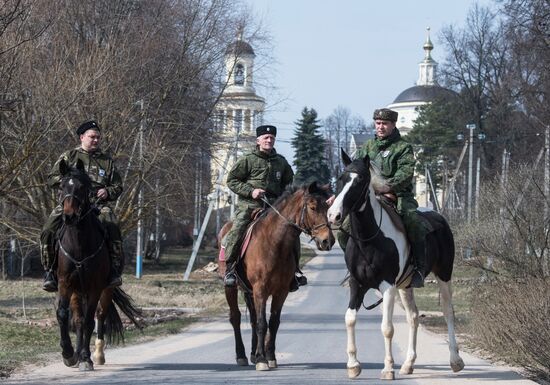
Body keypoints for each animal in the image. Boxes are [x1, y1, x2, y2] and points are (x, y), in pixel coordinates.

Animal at [54, 158, 141, 368]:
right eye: (61, 185)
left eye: (82, 187)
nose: (69, 216)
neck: (79, 243)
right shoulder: (65, 283)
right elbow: (64, 315)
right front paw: (68, 353)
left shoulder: (95, 286)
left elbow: (89, 321)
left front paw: (86, 357)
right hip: (77, 290)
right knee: (78, 318)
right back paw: (77, 353)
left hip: (106, 289)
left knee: (100, 315)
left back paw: (98, 354)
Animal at [221, 182, 336, 370]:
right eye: (312, 207)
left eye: (328, 207)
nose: (328, 241)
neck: (275, 243)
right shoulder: (260, 289)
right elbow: (262, 323)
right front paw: (262, 360)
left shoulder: (281, 291)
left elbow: (273, 323)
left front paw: (269, 356)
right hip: (230, 288)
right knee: (236, 318)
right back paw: (242, 356)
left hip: (248, 291)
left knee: (252, 319)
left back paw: (252, 354)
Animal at [328, 150, 466, 378]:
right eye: (341, 178)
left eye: (360, 180)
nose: (333, 215)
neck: (369, 240)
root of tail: (439, 217)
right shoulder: (357, 284)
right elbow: (350, 318)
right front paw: (353, 365)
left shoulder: (388, 286)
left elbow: (387, 327)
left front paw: (387, 368)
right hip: (406, 285)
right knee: (413, 316)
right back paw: (408, 364)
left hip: (444, 274)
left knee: (449, 312)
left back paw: (455, 360)